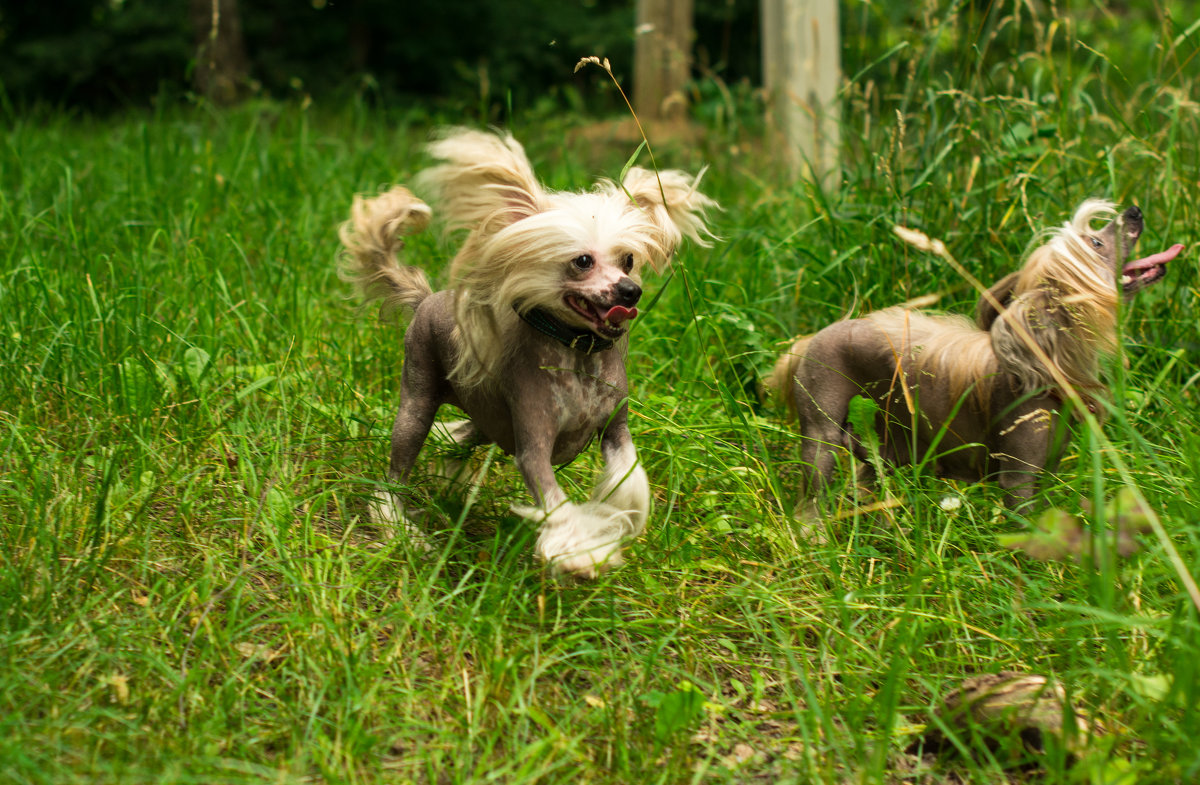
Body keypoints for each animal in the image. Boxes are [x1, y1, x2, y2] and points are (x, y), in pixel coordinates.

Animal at [338, 130, 710, 578]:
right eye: (582, 261)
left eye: (628, 259)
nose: (630, 291)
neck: (577, 353)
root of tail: (426, 298)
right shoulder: (534, 447)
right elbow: (557, 504)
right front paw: (581, 552)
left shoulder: (615, 432)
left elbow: (629, 477)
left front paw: (615, 520)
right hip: (416, 403)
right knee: (396, 472)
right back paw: (399, 526)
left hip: (489, 417)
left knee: (464, 435)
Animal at [777, 200, 1180, 513]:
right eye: (1096, 242)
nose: (1133, 211)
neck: (1045, 363)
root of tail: (812, 338)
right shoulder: (1018, 479)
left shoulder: (1047, 472)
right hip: (821, 434)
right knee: (812, 494)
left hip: (888, 442)